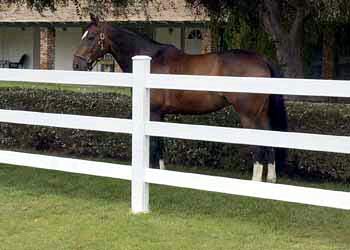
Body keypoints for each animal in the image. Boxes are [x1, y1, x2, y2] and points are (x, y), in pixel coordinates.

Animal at [73, 14, 288, 183]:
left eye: (91, 37)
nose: (76, 65)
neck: (150, 60)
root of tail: (262, 59)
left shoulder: (154, 113)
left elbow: (156, 143)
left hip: (248, 115)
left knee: (258, 145)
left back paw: (255, 181)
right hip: (261, 114)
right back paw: (271, 178)